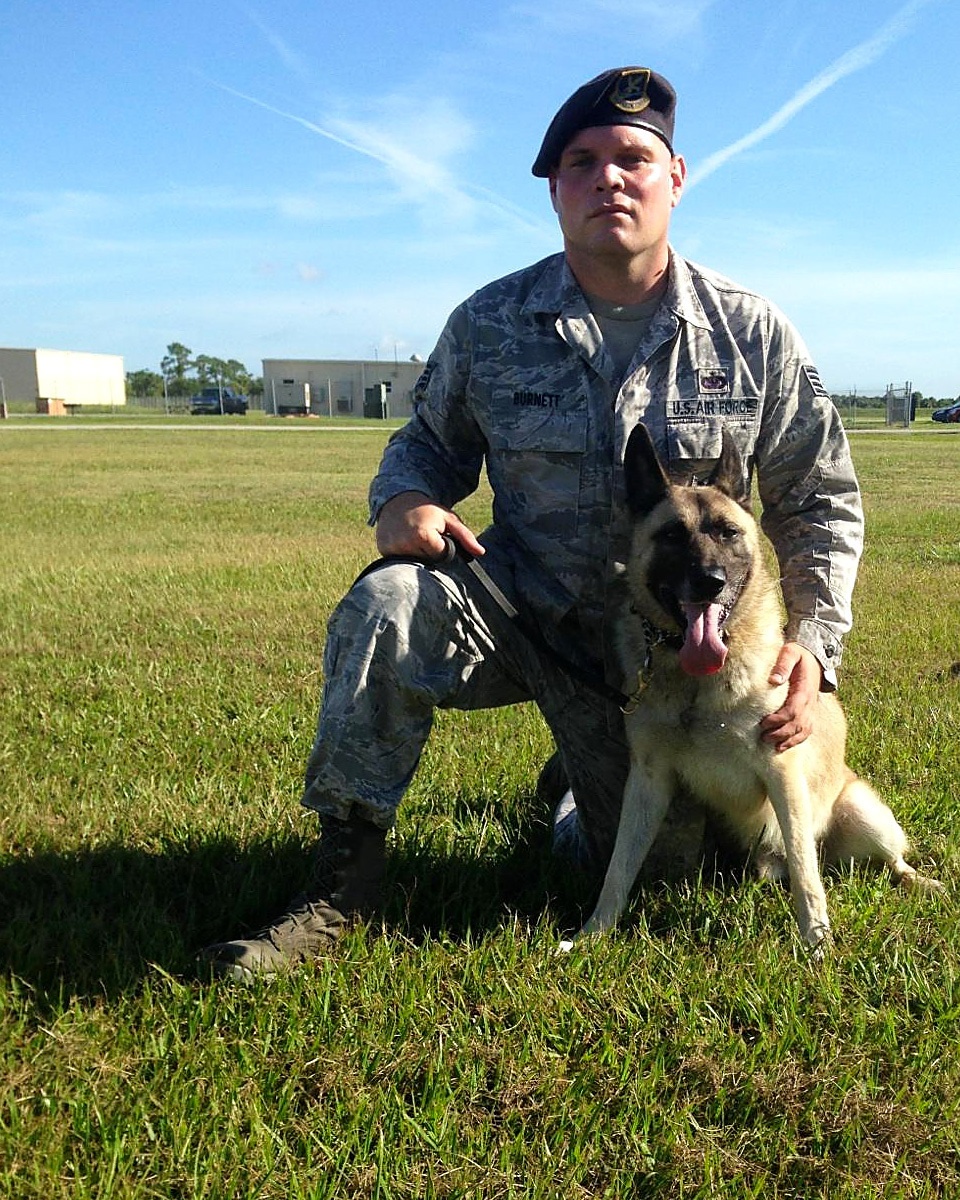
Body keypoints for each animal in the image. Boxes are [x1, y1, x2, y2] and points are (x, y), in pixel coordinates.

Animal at [566, 427, 940, 950]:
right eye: (671, 535)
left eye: (728, 532)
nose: (710, 582)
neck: (696, 686)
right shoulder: (647, 782)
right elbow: (619, 868)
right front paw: (593, 933)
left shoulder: (781, 773)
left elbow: (806, 874)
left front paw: (817, 942)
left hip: (864, 816)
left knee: (885, 863)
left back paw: (923, 882)